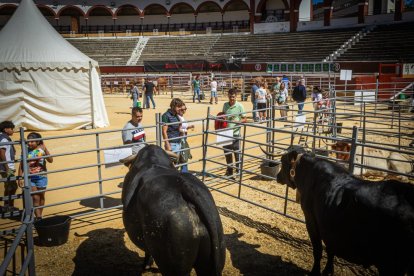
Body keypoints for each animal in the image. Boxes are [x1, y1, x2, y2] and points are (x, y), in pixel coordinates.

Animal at [272, 146, 414, 274]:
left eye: (283, 161)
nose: (277, 176)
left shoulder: (311, 220)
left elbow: (318, 250)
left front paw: (315, 272)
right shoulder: (328, 226)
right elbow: (330, 250)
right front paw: (328, 270)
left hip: (391, 265)